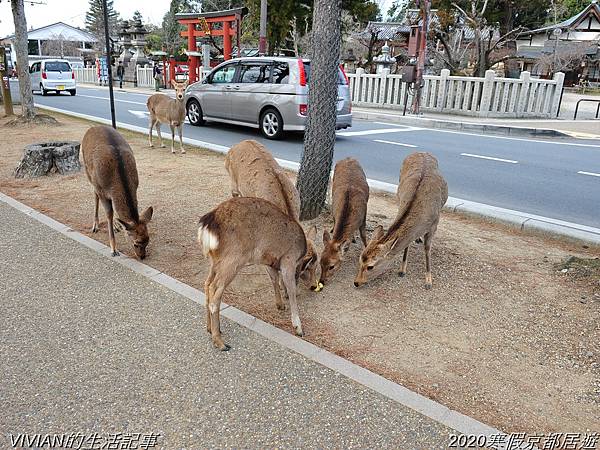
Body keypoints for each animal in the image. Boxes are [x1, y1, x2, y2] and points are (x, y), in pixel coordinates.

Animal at [81, 125, 154, 260]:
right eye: (136, 243)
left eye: (148, 240)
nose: (142, 257)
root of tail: (94, 127)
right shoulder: (101, 190)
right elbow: (109, 214)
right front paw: (114, 249)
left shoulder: (135, 186)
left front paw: (117, 225)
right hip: (88, 172)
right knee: (94, 194)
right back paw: (95, 226)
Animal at [198, 198, 308, 352]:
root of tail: (208, 224)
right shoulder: (288, 259)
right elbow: (290, 289)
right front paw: (298, 327)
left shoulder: (269, 262)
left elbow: (274, 279)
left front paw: (280, 305)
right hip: (233, 259)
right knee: (215, 291)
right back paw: (220, 342)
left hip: (215, 260)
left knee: (207, 284)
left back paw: (210, 328)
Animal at [354, 153, 448, 290]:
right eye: (360, 259)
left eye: (370, 266)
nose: (356, 282)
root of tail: (422, 152)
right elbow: (407, 244)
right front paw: (402, 270)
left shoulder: (434, 223)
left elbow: (427, 249)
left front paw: (428, 281)